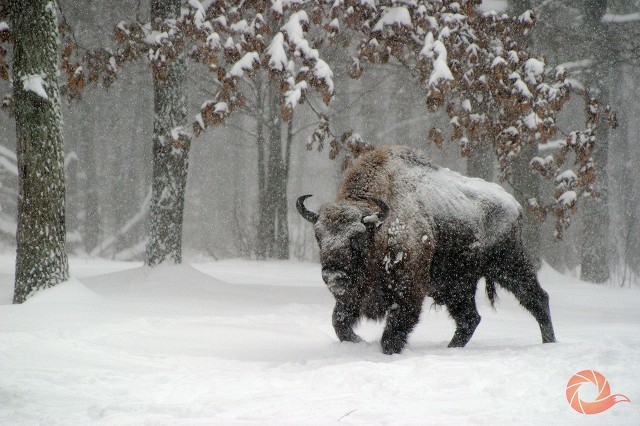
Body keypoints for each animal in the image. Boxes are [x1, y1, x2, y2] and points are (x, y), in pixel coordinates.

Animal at [298, 145, 556, 354]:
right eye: (318, 235)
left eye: (357, 237)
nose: (333, 275)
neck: (381, 228)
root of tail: (515, 205)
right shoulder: (352, 298)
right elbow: (339, 322)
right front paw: (358, 342)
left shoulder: (408, 292)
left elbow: (393, 333)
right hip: (458, 285)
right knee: (469, 318)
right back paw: (451, 349)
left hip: (508, 266)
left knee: (537, 299)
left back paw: (549, 343)